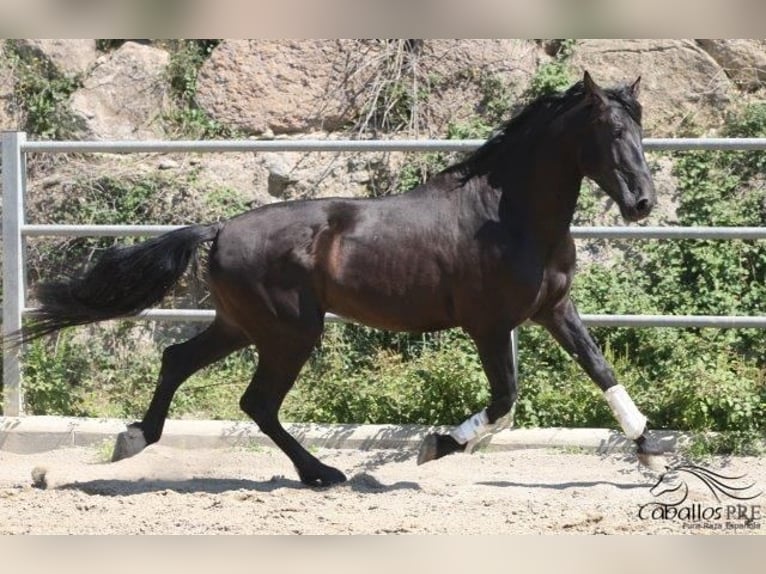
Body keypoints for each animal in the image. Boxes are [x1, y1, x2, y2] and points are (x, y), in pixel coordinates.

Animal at [16, 72, 664, 486]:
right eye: (609, 132)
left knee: (179, 361)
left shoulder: (555, 310)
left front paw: (652, 452)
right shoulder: (488, 324)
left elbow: (602, 370)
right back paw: (322, 472)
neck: (510, 217)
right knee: (256, 401)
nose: (642, 203)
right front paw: (434, 446)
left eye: (640, 131)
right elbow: (505, 401)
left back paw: (135, 440)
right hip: (290, 332)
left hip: (243, 326)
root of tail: (219, 229)